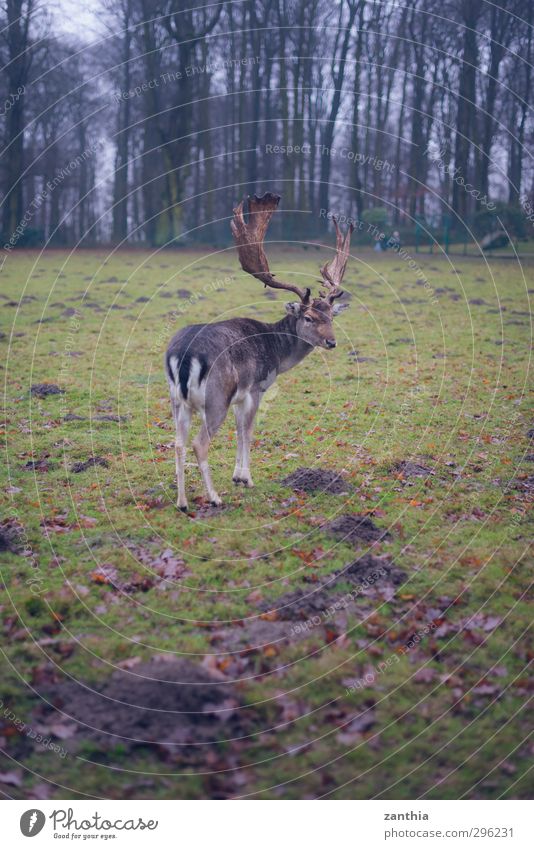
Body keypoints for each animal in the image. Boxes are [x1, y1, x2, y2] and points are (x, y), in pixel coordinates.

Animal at [165, 192, 354, 510]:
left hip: (178, 401)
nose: (331, 342)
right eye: (308, 318)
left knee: (178, 442)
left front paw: (237, 475)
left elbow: (239, 430)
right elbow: (248, 430)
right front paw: (245, 478)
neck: (276, 351)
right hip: (216, 397)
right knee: (199, 443)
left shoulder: (240, 397)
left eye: (331, 316)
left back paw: (182, 502)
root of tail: (185, 354)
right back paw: (214, 498)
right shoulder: (256, 387)